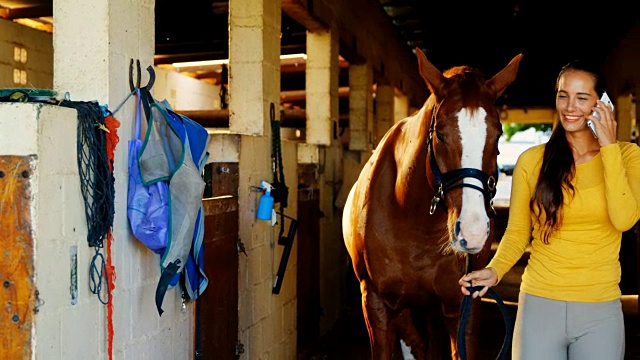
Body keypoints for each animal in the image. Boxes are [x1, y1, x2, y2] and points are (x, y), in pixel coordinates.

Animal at [342, 48, 524, 360]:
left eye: (498, 133)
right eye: (439, 133)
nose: (472, 232)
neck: (412, 218)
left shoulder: (463, 306)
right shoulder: (377, 304)